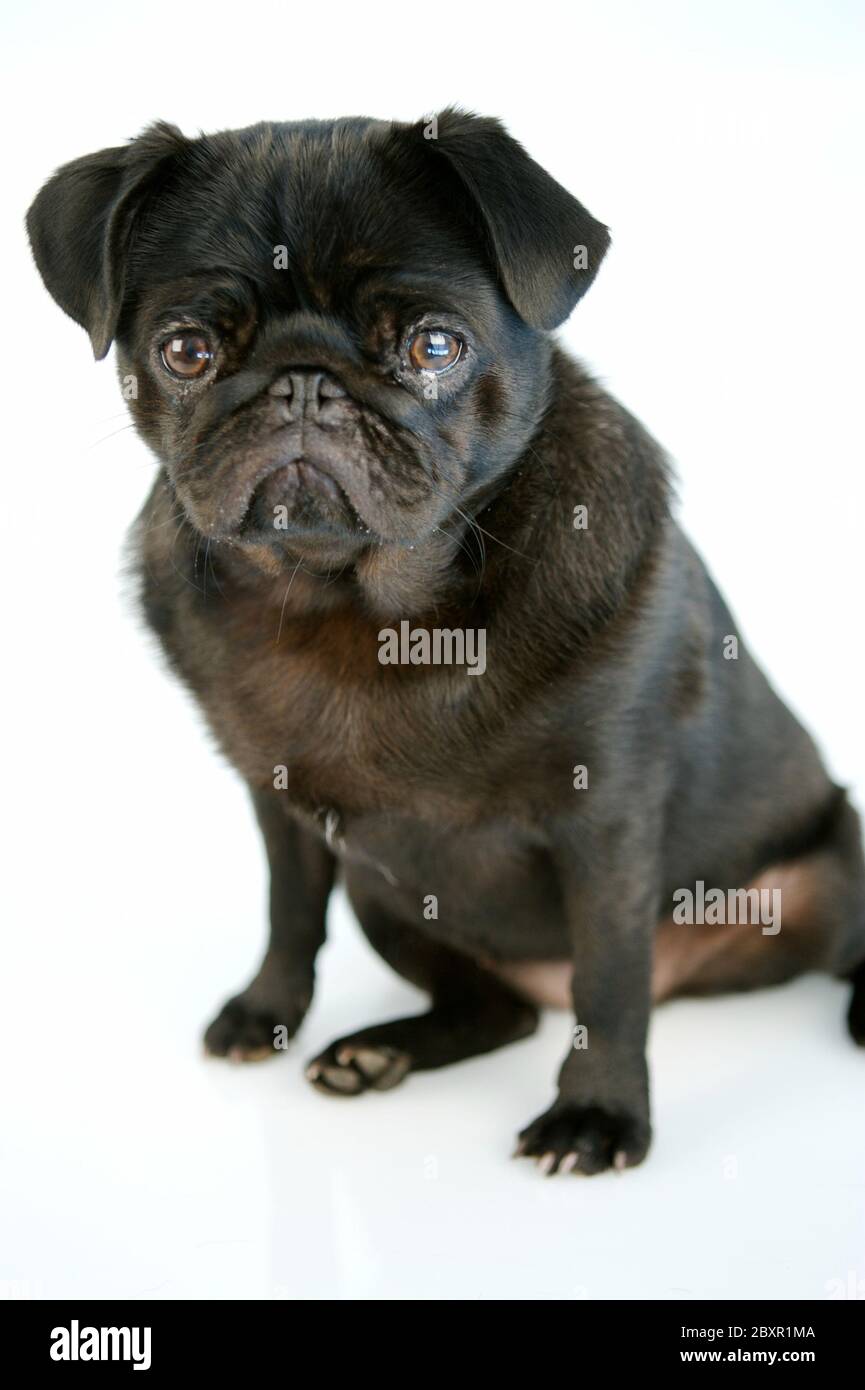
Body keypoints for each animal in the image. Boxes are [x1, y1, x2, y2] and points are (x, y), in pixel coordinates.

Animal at [27, 105, 865, 1173]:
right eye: (186, 352)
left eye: (433, 346)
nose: (304, 384)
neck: (357, 611)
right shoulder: (281, 805)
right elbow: (287, 911)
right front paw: (267, 1011)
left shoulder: (607, 821)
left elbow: (608, 980)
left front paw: (598, 1113)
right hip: (382, 892)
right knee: (495, 1010)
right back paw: (380, 1052)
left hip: (827, 877)